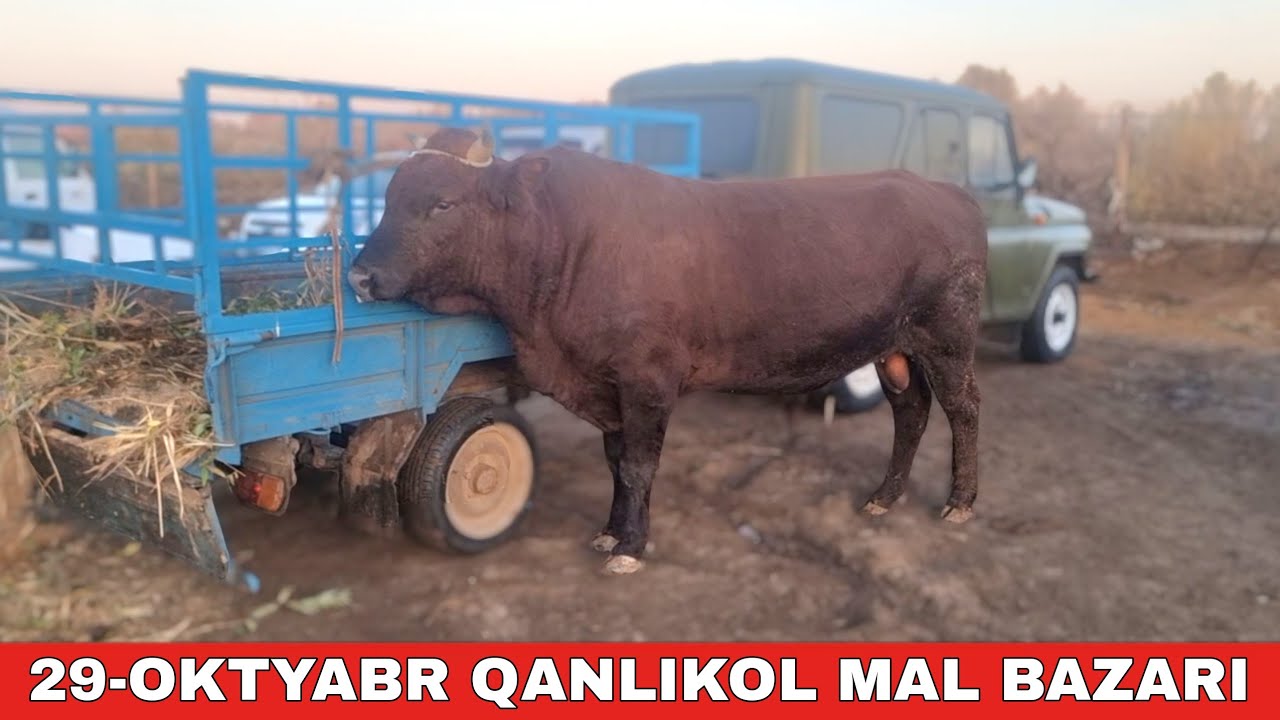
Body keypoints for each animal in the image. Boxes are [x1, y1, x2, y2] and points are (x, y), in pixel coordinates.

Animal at [348, 127, 987, 575]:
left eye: (443, 204)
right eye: (389, 198)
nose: (358, 276)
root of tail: (942, 190)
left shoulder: (647, 378)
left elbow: (637, 463)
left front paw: (631, 546)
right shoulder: (605, 384)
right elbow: (615, 460)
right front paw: (610, 531)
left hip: (948, 338)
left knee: (963, 409)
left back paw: (960, 502)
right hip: (893, 347)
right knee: (911, 411)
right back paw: (885, 497)